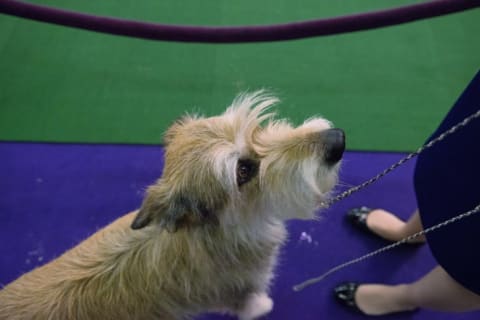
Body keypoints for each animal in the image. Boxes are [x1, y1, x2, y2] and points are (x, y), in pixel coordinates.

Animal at [0, 91, 344, 318]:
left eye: (257, 128)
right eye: (243, 171)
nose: (338, 139)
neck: (223, 230)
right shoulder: (242, 292)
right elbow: (253, 305)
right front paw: (264, 306)